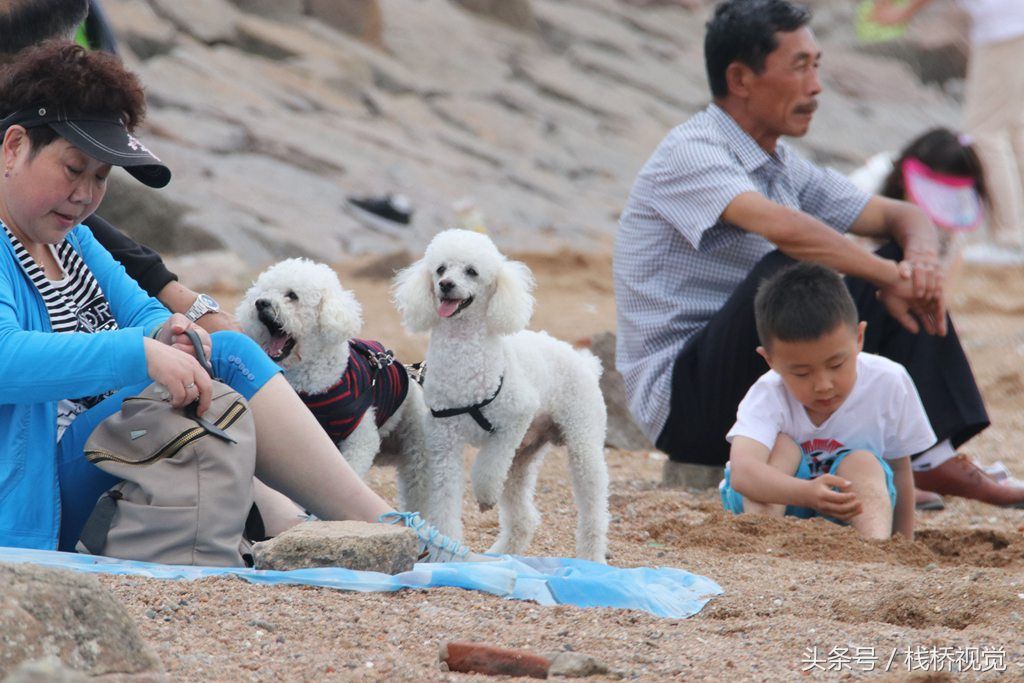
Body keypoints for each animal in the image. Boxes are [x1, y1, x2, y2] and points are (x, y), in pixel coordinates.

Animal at [237, 262, 430, 518]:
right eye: (263, 292)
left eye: (292, 295)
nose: (260, 303)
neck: (312, 385)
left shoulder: (359, 439)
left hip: (417, 447)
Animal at [391, 229, 606, 561]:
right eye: (440, 269)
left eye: (471, 271)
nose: (445, 285)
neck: (465, 358)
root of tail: (585, 362)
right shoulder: (444, 443)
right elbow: (444, 498)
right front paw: (445, 553)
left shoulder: (515, 419)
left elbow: (487, 468)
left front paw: (484, 495)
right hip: (522, 457)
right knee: (524, 517)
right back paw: (502, 553)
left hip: (582, 441)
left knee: (594, 507)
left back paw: (591, 559)